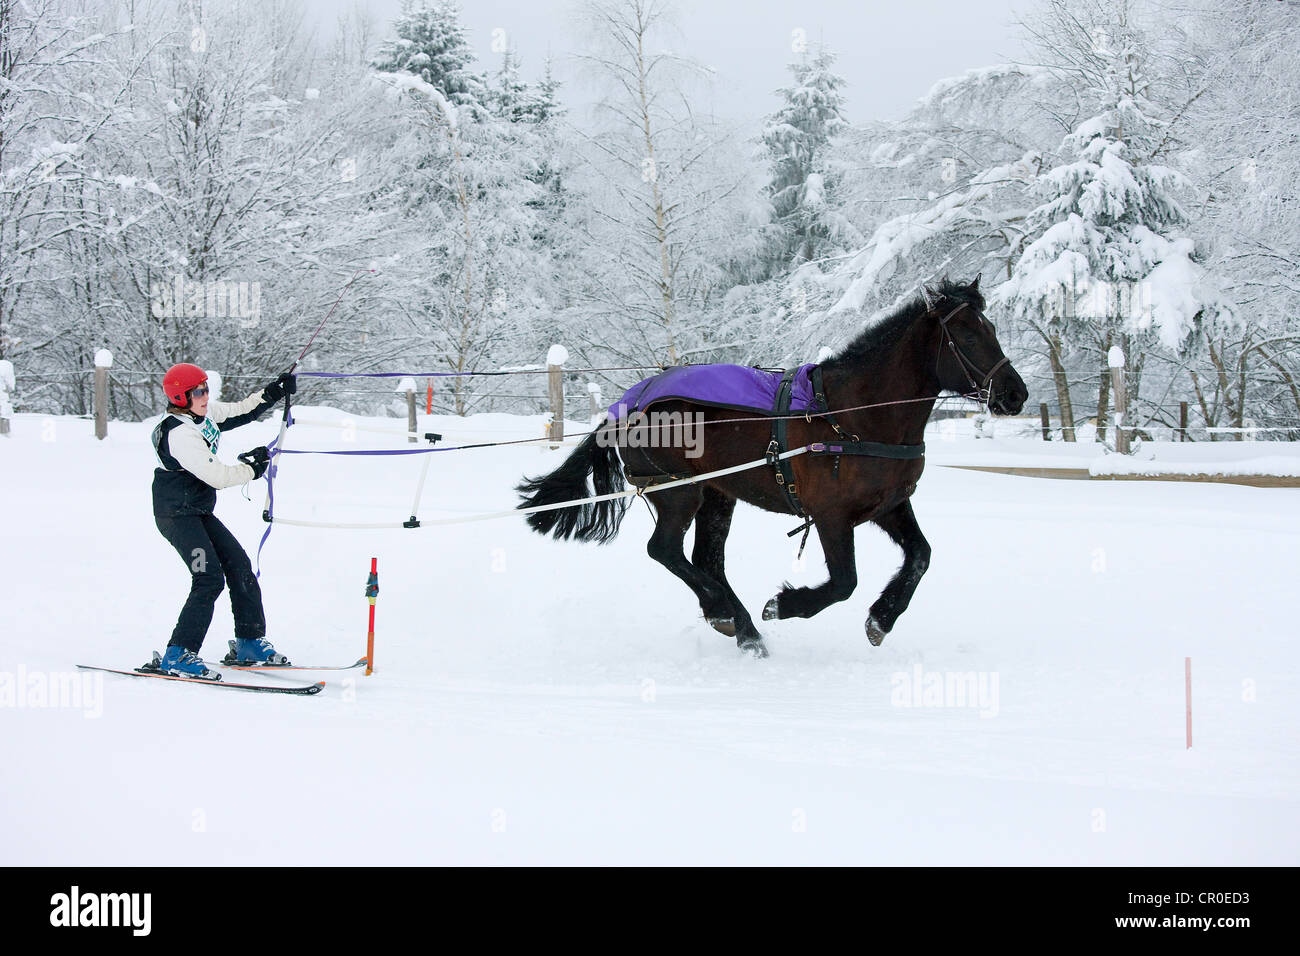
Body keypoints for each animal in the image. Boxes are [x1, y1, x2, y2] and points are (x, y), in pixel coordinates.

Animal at [514, 277, 1024, 658]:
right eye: (969, 335)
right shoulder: (831, 516)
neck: (850, 414)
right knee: (665, 551)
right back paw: (728, 614)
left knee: (705, 559)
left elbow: (921, 555)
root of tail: (627, 405)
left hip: (717, 495)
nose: (1014, 394)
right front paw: (784, 604)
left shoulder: (889, 505)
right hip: (681, 491)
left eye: (992, 327)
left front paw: (882, 618)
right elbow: (844, 582)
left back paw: (737, 625)